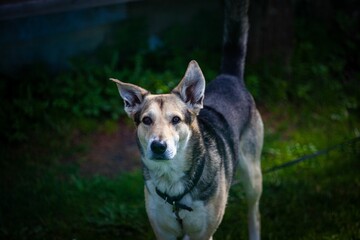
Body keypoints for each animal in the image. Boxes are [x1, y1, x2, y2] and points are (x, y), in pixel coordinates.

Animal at [108, 0, 262, 240]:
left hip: (253, 174)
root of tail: (229, 77)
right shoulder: (163, 231)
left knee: (254, 211)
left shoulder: (203, 233)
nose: (158, 147)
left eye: (176, 119)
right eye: (146, 120)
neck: (172, 185)